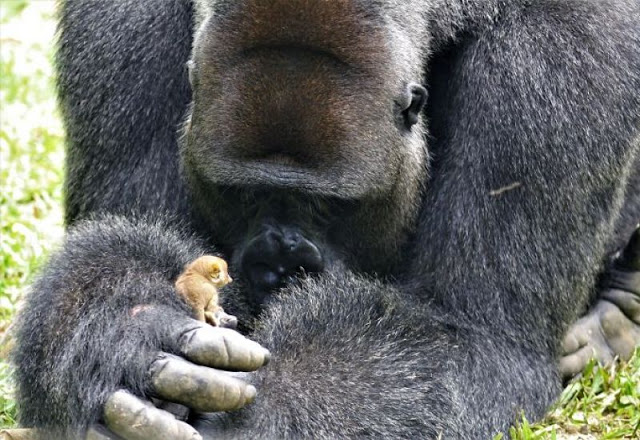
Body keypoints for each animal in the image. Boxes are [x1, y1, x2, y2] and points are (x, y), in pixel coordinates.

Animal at [10, 0, 640, 438]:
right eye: (242, 195)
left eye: (332, 206)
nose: (281, 265)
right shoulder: (118, 24)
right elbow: (127, 236)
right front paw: (122, 321)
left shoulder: (560, 57)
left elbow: (473, 335)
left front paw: (267, 408)